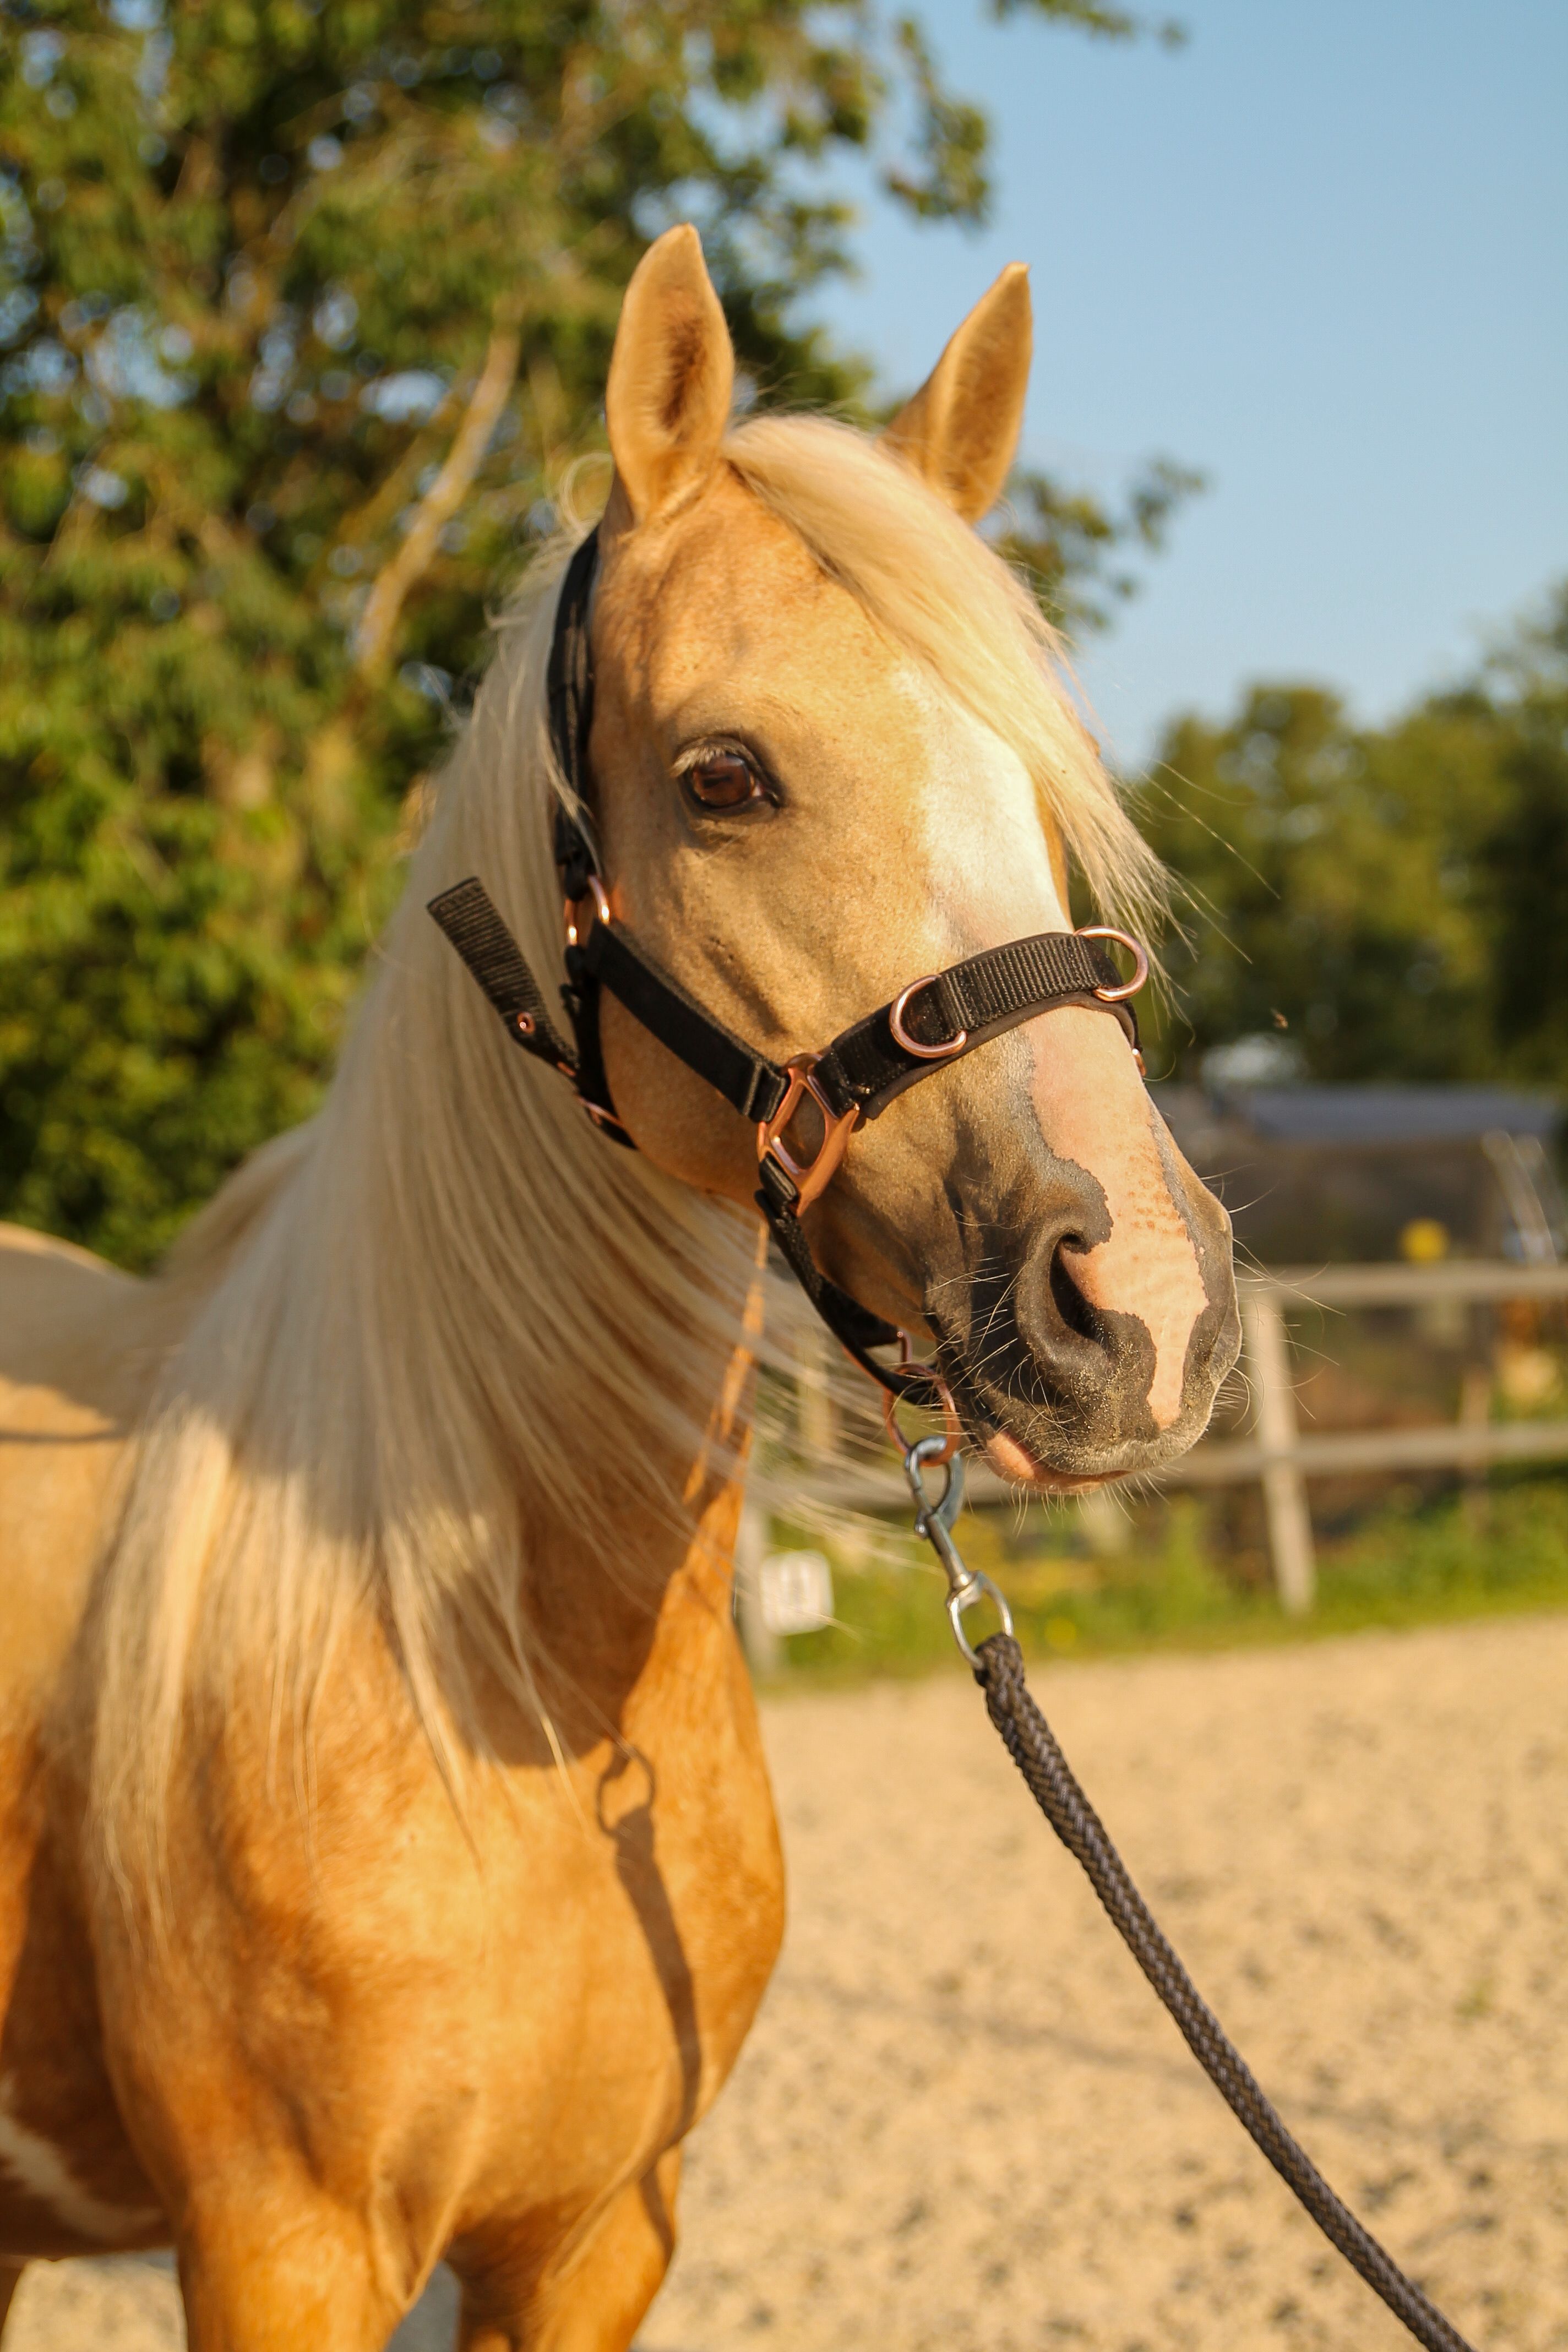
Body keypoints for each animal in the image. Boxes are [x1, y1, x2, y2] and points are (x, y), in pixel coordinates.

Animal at [0, 226, 1238, 2348]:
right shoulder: (279, 2250)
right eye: (725, 776)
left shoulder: (595, 2238)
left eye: (1036, 782)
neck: (487, 1683)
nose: (1137, 1309)